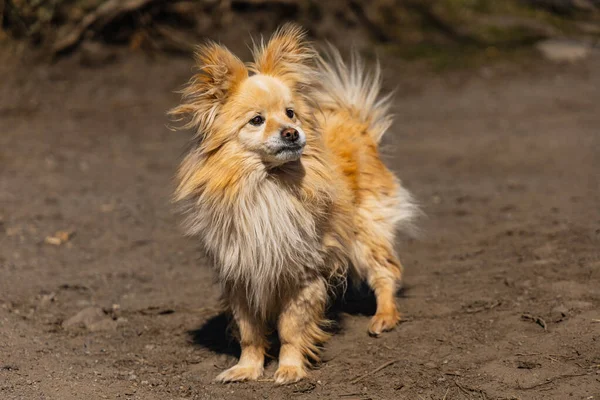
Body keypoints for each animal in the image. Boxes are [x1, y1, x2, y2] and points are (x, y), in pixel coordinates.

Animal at [170, 22, 418, 384]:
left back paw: (384, 316)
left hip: (364, 233)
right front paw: (247, 368)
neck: (268, 184)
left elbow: (291, 328)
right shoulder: (241, 276)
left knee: (385, 272)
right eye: (256, 120)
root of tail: (354, 121)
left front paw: (290, 368)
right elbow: (249, 332)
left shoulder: (301, 275)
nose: (292, 132)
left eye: (290, 113)